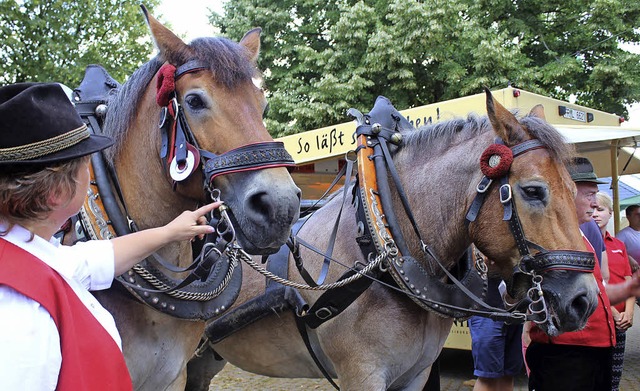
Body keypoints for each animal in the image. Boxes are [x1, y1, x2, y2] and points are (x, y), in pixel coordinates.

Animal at [194, 92, 600, 391]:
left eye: (573, 191)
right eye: (533, 191)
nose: (584, 300)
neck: (380, 245)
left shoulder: (417, 373)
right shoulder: (362, 374)